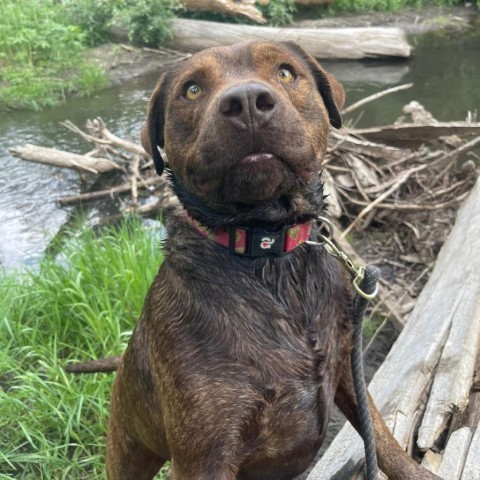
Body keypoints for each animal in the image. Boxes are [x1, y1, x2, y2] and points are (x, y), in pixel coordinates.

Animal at [105, 41, 438, 480]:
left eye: (284, 72)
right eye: (191, 90)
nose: (246, 101)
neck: (267, 248)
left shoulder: (348, 373)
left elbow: (380, 438)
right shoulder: (204, 457)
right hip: (127, 451)